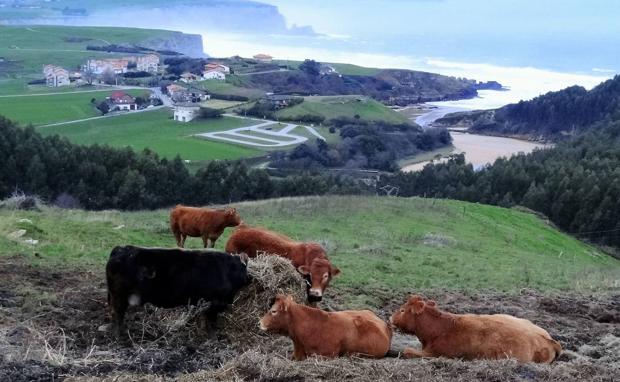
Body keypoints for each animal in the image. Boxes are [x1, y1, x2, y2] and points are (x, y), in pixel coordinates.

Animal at [106, 245, 249, 338]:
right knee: (117, 314)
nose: (249, 278)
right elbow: (210, 322)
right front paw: (212, 337)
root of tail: (122, 249)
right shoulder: (215, 303)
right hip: (119, 296)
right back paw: (118, 336)